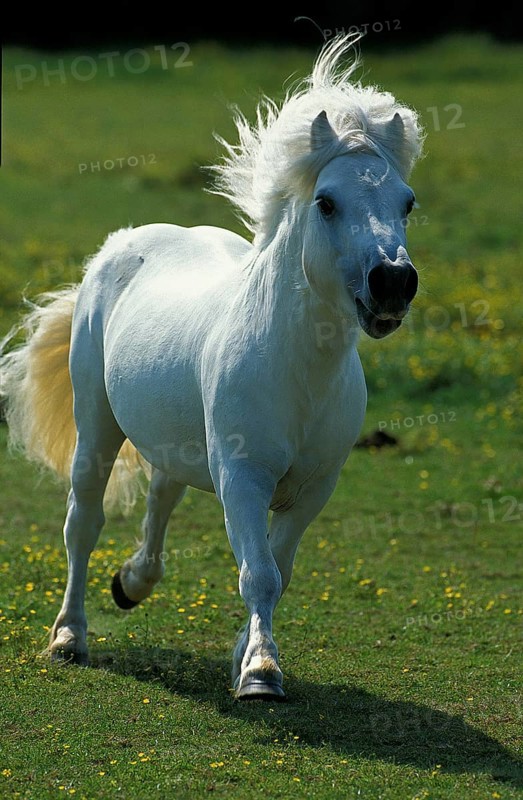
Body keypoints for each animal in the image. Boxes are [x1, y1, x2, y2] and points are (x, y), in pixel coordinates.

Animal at [0, 34, 424, 700]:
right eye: (327, 202)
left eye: (407, 203)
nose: (392, 283)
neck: (299, 372)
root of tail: (122, 242)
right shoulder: (243, 477)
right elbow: (260, 575)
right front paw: (260, 674)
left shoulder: (313, 490)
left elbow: (279, 570)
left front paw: (244, 655)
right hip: (96, 426)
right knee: (82, 522)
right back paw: (69, 638)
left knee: (162, 494)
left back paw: (132, 584)